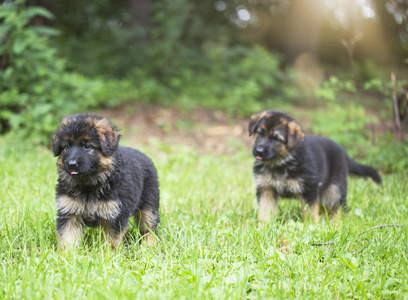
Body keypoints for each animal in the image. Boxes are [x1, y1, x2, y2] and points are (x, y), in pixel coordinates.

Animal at [51, 113, 159, 250]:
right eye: (67, 146)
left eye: (87, 146)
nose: (71, 164)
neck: (88, 184)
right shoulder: (69, 212)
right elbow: (67, 237)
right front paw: (66, 254)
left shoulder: (114, 215)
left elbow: (110, 240)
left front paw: (108, 253)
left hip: (149, 204)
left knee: (149, 227)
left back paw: (149, 246)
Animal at [249, 110, 382, 223]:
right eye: (259, 133)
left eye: (276, 139)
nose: (258, 151)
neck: (280, 163)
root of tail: (344, 153)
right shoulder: (266, 188)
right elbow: (265, 210)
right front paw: (263, 225)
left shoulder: (309, 189)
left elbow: (310, 212)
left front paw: (312, 226)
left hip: (335, 188)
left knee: (340, 206)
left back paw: (336, 222)